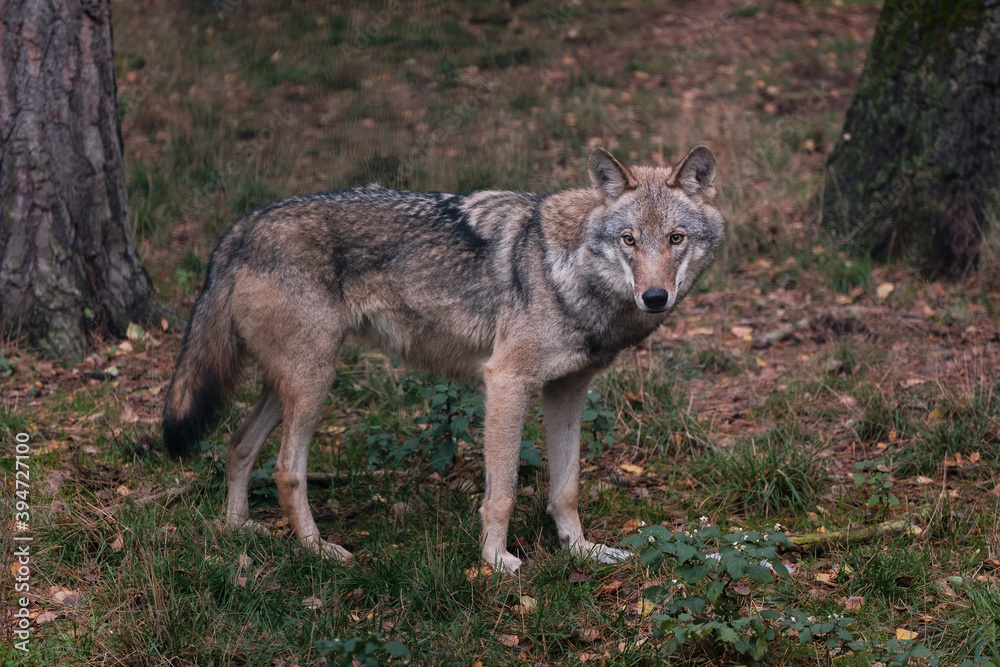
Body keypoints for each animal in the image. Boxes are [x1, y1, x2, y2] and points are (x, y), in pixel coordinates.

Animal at [164, 146, 728, 576]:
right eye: (629, 240)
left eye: (675, 238)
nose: (654, 297)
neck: (564, 269)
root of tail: (242, 225)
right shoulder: (506, 383)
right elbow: (502, 491)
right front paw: (496, 563)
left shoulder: (568, 390)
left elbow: (566, 488)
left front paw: (582, 552)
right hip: (314, 381)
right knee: (285, 470)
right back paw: (317, 550)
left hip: (290, 384)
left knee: (238, 445)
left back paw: (238, 529)